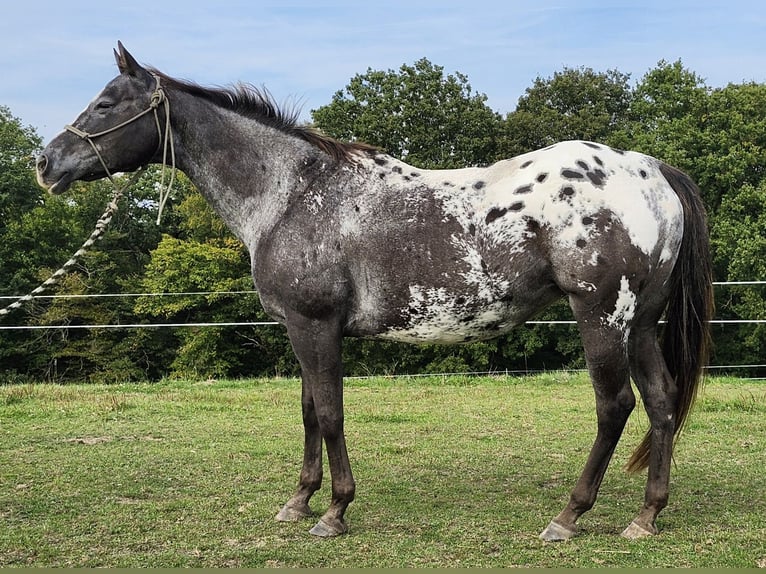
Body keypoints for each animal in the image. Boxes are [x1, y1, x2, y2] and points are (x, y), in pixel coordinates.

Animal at [36, 42, 716, 544]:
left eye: (105, 103)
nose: (46, 163)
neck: (293, 194)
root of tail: (649, 169)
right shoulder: (303, 329)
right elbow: (310, 410)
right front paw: (299, 503)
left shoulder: (315, 325)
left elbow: (332, 412)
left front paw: (335, 513)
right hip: (641, 322)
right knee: (660, 403)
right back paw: (645, 517)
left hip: (601, 316)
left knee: (615, 407)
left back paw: (569, 517)